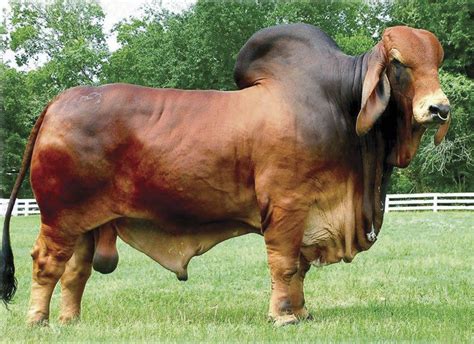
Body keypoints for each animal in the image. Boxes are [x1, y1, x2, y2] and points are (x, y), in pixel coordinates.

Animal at [0, 24, 450, 326]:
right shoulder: (287, 206)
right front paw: (283, 317)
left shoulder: (309, 214)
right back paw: (37, 320)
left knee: (75, 271)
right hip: (59, 217)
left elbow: (300, 268)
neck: (340, 104)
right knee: (46, 264)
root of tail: (59, 101)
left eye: (437, 62)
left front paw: (302, 312)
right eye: (398, 64)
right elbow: (284, 265)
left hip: (87, 224)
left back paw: (69, 320)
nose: (439, 108)